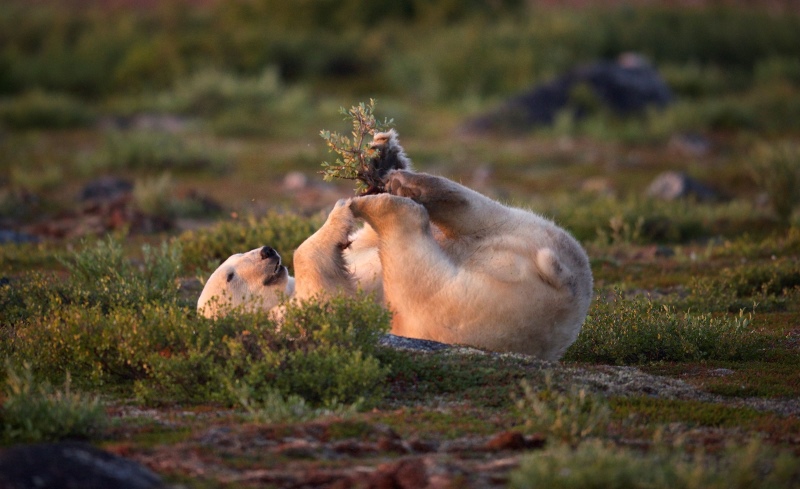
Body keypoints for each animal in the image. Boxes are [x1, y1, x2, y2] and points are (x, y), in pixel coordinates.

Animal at [196, 130, 592, 358]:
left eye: (238, 257)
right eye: (230, 275)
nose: (267, 250)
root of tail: (562, 284)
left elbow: (359, 247)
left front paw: (371, 173)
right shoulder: (296, 318)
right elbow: (330, 295)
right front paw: (340, 212)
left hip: (529, 231)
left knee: (480, 214)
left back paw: (397, 177)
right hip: (473, 308)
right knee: (416, 273)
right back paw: (388, 203)